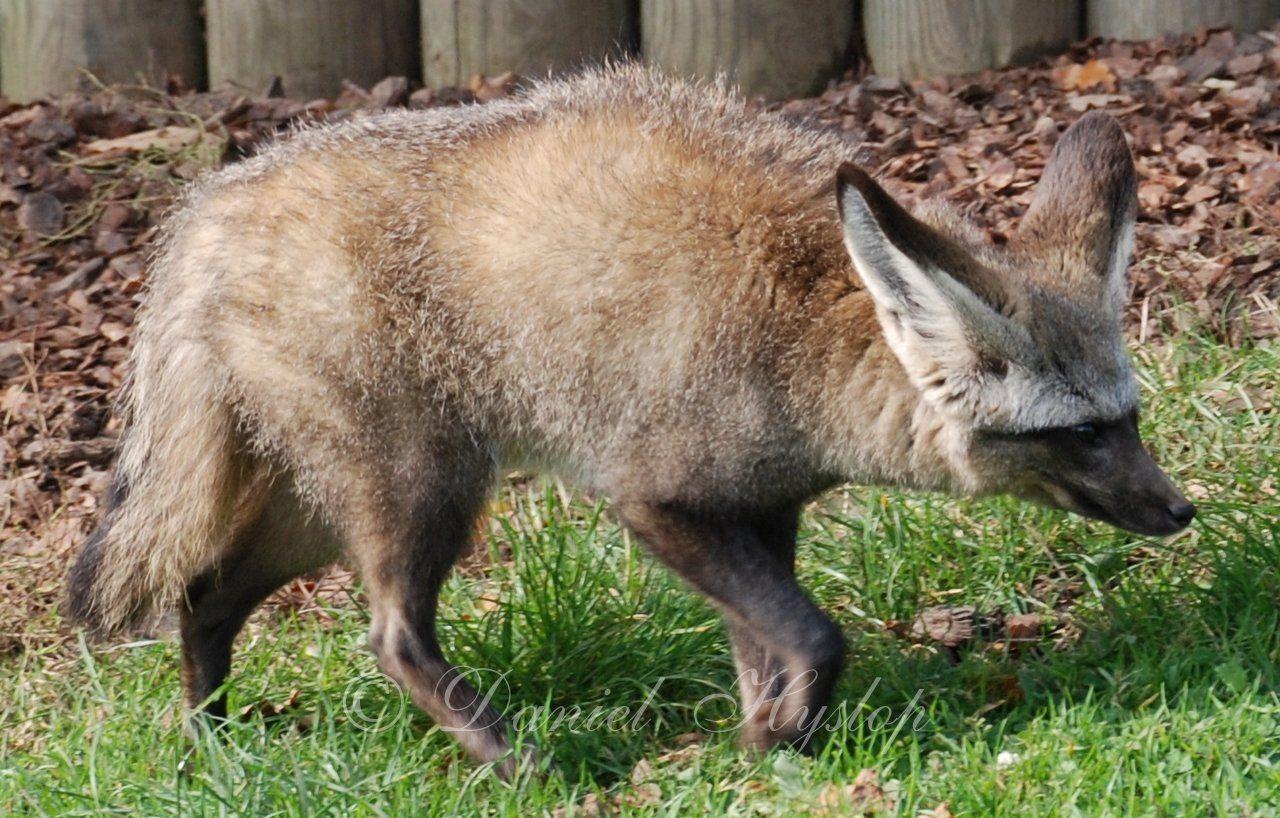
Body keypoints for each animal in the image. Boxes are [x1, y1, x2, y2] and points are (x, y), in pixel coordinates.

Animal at [67, 64, 1187, 778]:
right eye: (1080, 433)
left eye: (1128, 417)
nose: (1180, 512)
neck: (799, 329)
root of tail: (212, 205)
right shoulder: (655, 501)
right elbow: (818, 635)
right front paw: (777, 736)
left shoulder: (760, 509)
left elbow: (772, 646)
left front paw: (769, 746)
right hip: (423, 495)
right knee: (390, 638)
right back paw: (511, 760)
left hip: (320, 512)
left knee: (204, 594)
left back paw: (215, 747)